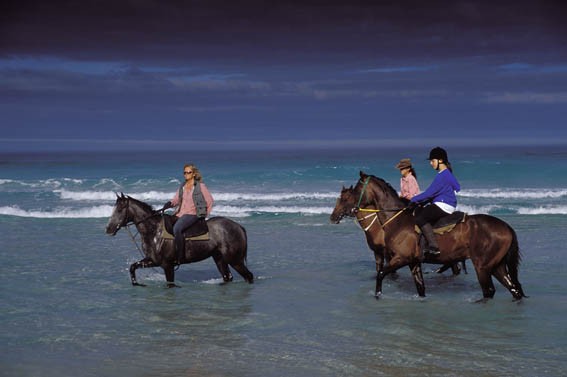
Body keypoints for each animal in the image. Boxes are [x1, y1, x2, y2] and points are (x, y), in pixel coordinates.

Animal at [105, 194, 255, 288]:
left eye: (120, 209)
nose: (108, 229)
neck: (154, 231)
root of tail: (238, 226)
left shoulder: (168, 265)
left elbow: (170, 284)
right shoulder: (152, 261)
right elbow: (132, 267)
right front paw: (137, 283)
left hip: (235, 260)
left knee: (248, 276)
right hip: (219, 259)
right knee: (227, 277)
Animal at [330, 171, 524, 300]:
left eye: (349, 196)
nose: (332, 217)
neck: (397, 220)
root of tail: (506, 227)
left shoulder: (400, 258)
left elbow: (380, 274)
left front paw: (378, 295)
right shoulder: (413, 262)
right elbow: (420, 288)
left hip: (483, 267)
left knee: (489, 290)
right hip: (497, 265)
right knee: (514, 288)